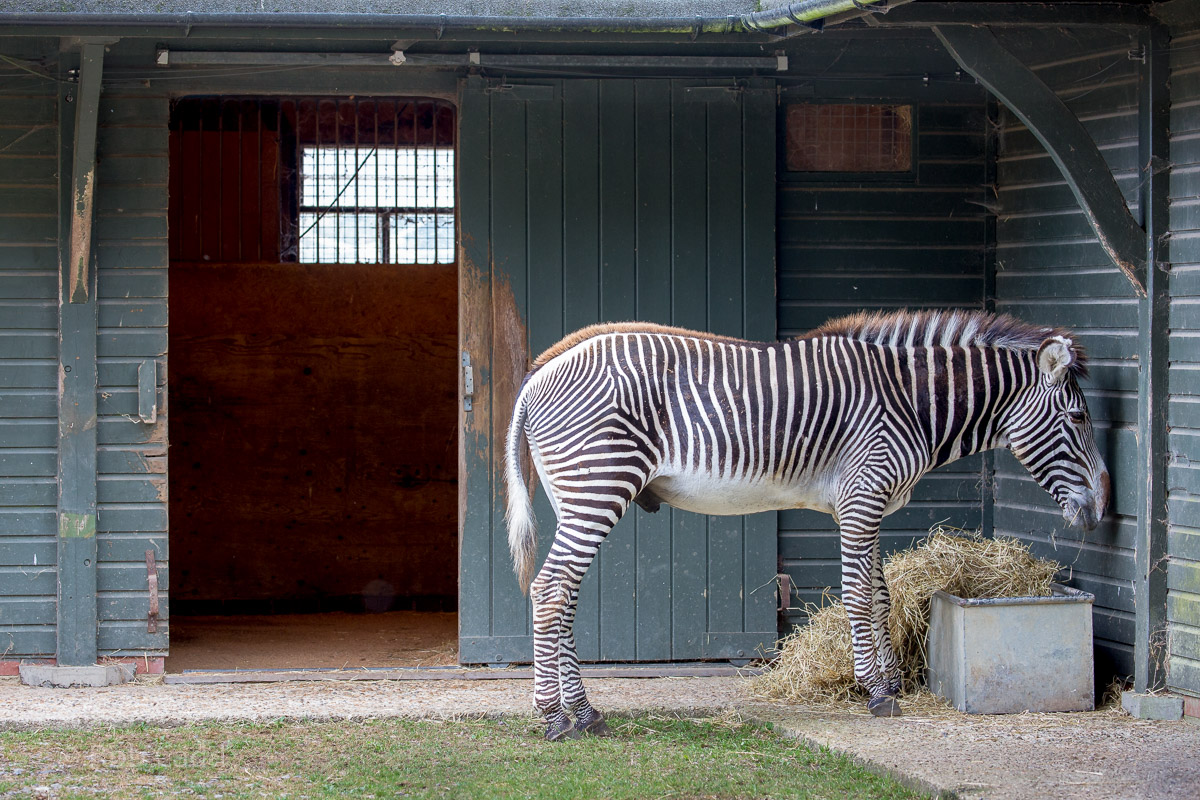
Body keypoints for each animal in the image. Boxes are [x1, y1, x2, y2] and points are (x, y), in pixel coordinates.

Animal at [505, 309, 1109, 740]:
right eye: (1079, 417)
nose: (1101, 509)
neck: (909, 402)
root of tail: (539, 370)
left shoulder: (869, 503)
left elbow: (880, 594)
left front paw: (889, 681)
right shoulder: (863, 495)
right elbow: (858, 595)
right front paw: (876, 692)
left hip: (574, 495)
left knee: (562, 594)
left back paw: (584, 714)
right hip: (599, 487)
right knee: (550, 589)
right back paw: (555, 719)